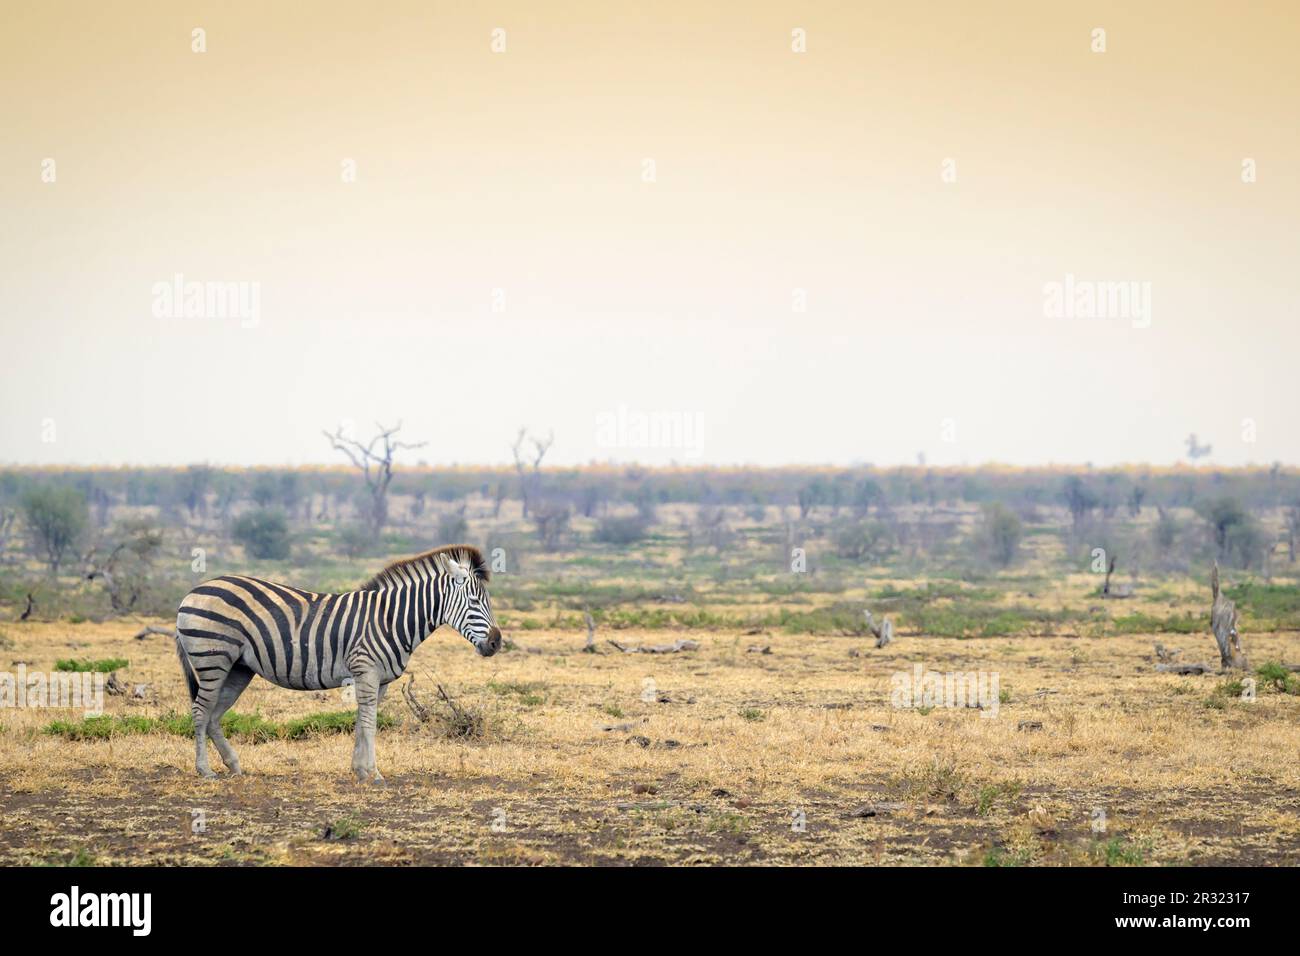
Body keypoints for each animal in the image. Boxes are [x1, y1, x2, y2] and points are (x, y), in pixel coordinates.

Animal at [174, 544, 501, 782]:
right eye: (474, 602)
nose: (496, 643)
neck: (391, 618)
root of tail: (193, 591)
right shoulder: (367, 671)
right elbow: (370, 724)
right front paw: (374, 773)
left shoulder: (377, 680)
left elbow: (361, 721)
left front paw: (359, 770)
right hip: (212, 660)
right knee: (201, 712)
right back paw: (205, 770)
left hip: (239, 668)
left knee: (214, 715)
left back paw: (233, 765)